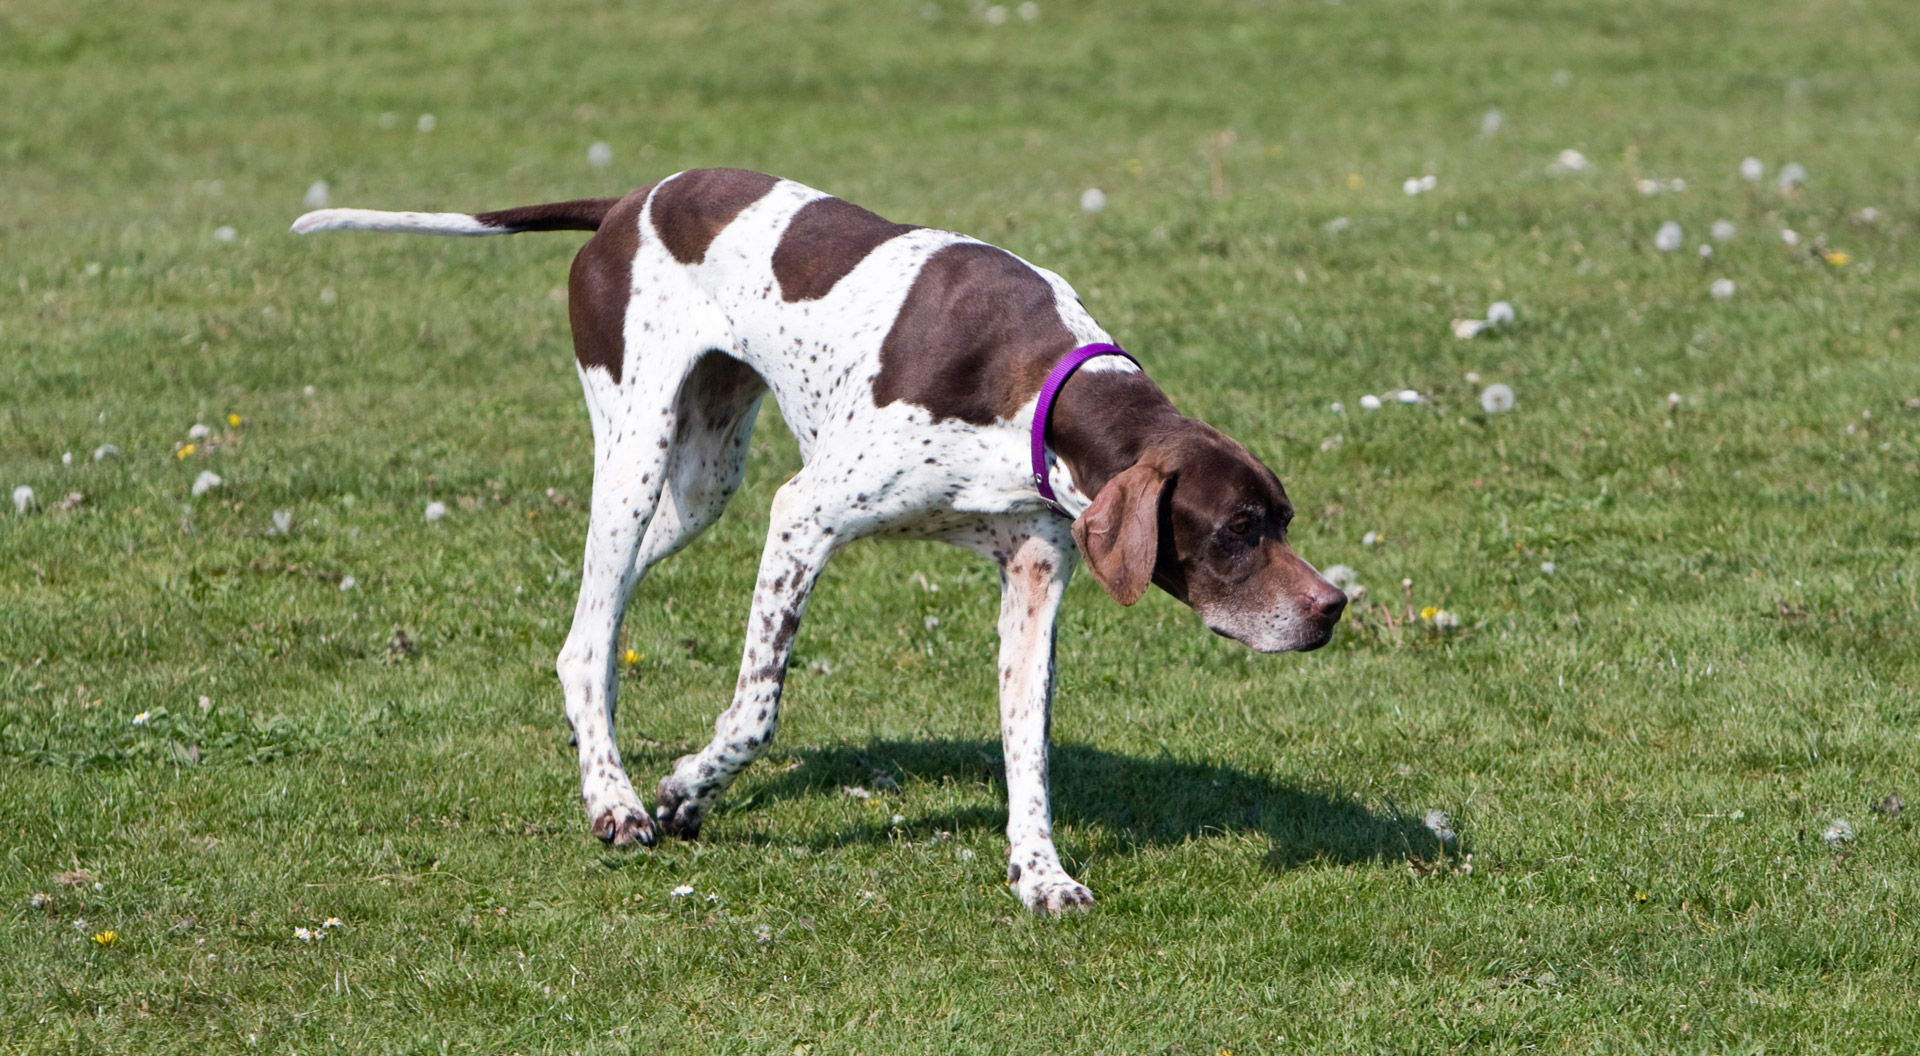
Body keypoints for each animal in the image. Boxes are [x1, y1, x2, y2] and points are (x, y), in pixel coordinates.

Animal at [295, 169, 1351, 913]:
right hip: (637, 453)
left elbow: (1028, 746)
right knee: (592, 633)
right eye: (1237, 531)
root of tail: (629, 201)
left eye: (1284, 520)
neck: (1038, 387)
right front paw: (685, 789)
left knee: (586, 627)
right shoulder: (804, 515)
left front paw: (1040, 873)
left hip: (701, 485)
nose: (1332, 608)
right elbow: (757, 709)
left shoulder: (1035, 576)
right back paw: (616, 800)